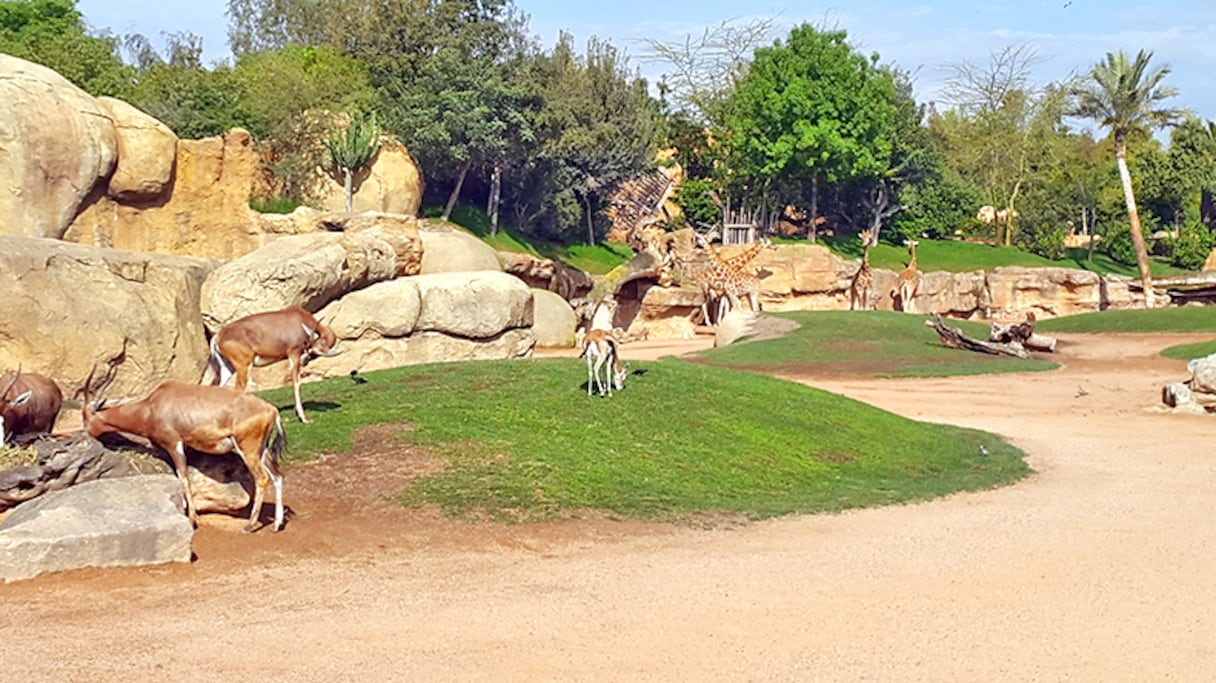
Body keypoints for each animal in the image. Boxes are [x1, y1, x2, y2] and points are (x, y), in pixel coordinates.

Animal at [82, 362, 286, 532]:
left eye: (85, 417)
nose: (85, 435)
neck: (152, 405)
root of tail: (272, 410)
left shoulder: (174, 445)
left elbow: (184, 477)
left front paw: (193, 518)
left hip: (248, 450)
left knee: (262, 478)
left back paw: (250, 526)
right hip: (262, 451)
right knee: (277, 475)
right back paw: (277, 524)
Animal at [209, 306, 340, 422]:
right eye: (311, 348)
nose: (305, 361)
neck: (298, 318)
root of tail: (218, 336)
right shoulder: (294, 354)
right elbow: (296, 382)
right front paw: (304, 418)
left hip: (228, 369)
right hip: (243, 367)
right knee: (238, 389)